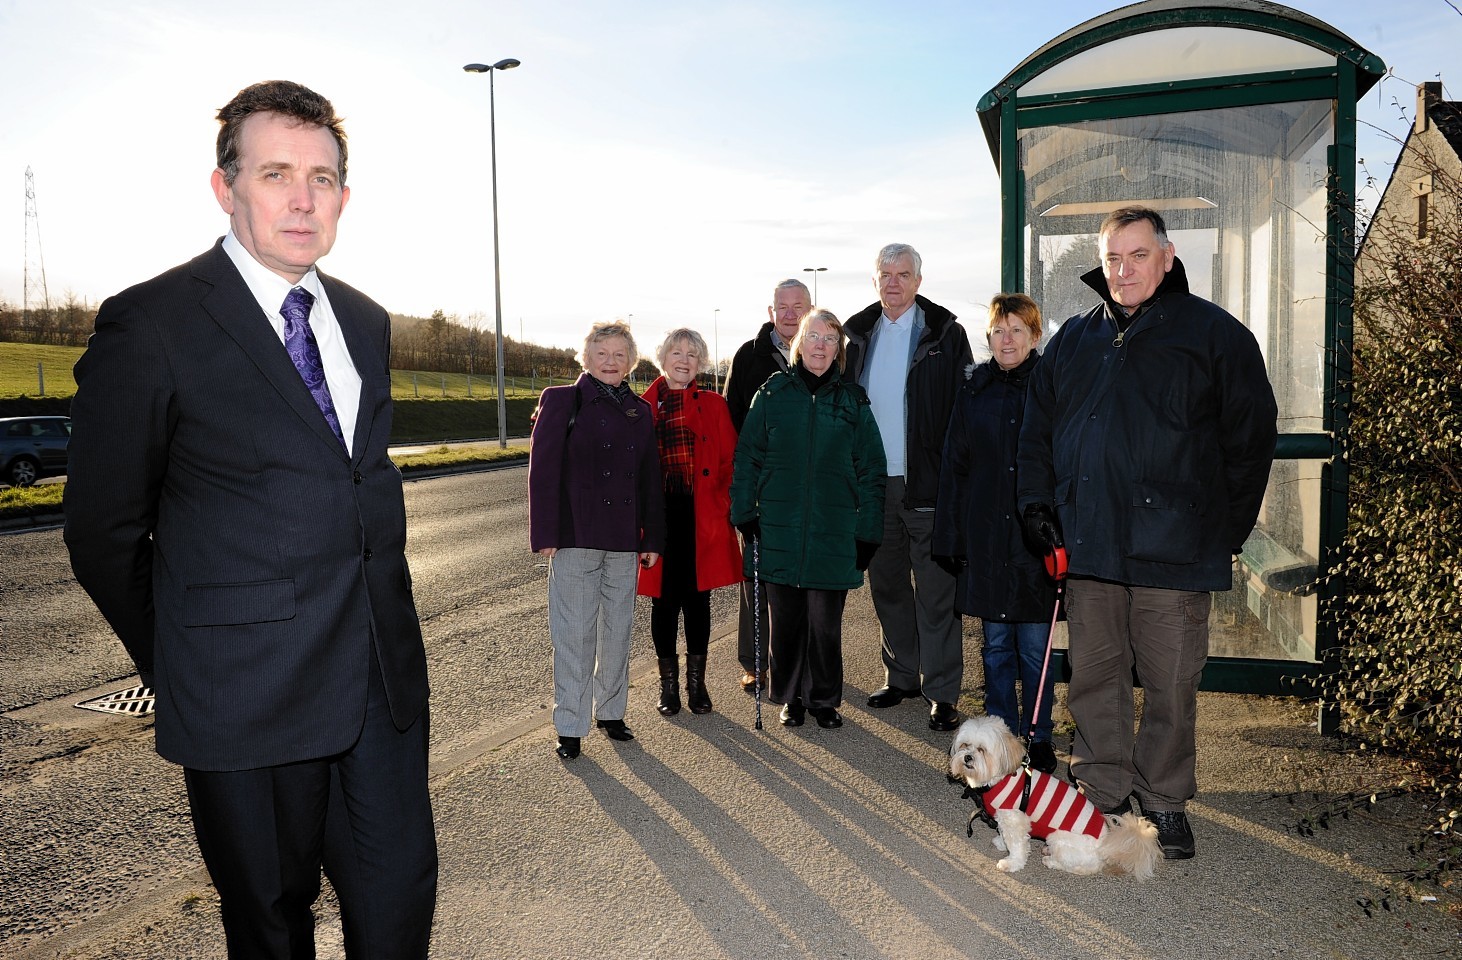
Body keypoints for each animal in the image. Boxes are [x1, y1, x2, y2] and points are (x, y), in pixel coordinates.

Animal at [947, 710, 1163, 876]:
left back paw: (1051, 861)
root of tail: (1107, 845)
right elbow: (1003, 833)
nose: (967, 757)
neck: (1001, 778)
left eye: (982, 750)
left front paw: (1011, 863)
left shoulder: (1015, 820)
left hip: (1057, 838)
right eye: (965, 745)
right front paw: (1001, 842)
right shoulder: (1004, 818)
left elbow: (1017, 846)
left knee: (1084, 867)